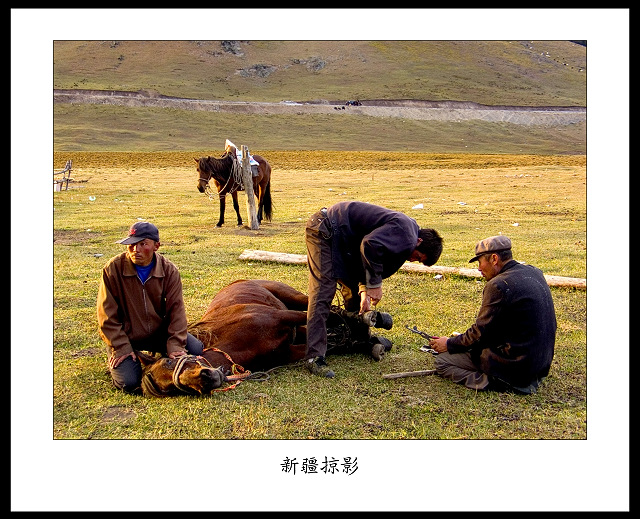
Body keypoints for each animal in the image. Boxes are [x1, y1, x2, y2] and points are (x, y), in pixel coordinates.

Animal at [138, 280, 392, 398]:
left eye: (168, 361)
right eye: (171, 390)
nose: (206, 379)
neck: (236, 342)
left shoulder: (282, 316)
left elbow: (327, 315)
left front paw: (365, 325)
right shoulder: (289, 351)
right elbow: (331, 344)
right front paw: (365, 342)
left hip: (292, 298)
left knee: (322, 307)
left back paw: (372, 319)